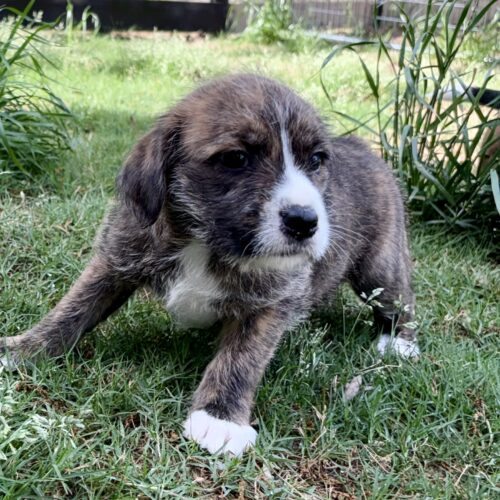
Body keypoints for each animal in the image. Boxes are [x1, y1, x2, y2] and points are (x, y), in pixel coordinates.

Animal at [1, 74, 419, 456]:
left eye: (316, 160)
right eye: (235, 159)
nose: (305, 221)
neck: (205, 240)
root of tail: (366, 149)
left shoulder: (270, 301)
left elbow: (241, 358)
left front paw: (219, 416)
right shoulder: (114, 260)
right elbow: (72, 309)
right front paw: (22, 350)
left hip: (379, 270)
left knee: (401, 302)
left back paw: (399, 345)